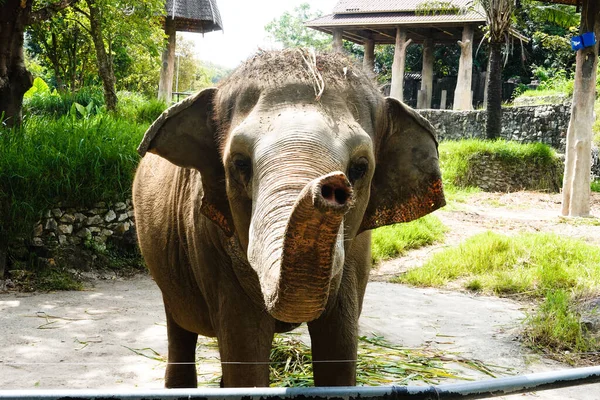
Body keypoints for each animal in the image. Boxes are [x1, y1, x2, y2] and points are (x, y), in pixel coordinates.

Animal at [134, 48, 442, 390]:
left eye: (359, 168)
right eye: (240, 163)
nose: (331, 187)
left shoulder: (359, 250)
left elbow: (339, 347)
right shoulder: (209, 243)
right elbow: (245, 352)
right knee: (179, 325)